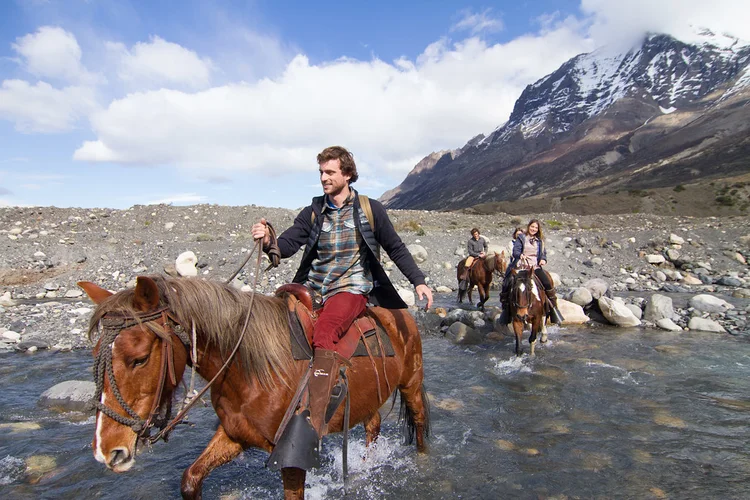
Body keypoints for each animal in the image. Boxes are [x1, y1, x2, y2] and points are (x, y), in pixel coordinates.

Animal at [78, 276, 428, 498]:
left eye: (138, 358)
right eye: (95, 356)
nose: (107, 451)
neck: (254, 368)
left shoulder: (291, 457)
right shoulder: (234, 435)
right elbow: (190, 479)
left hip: (411, 383)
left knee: (420, 424)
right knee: (373, 424)